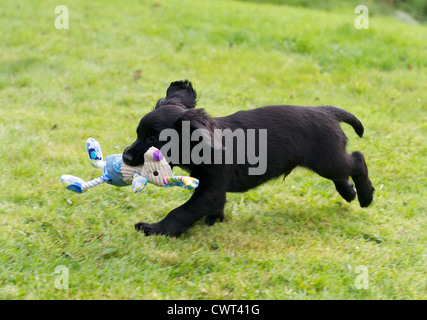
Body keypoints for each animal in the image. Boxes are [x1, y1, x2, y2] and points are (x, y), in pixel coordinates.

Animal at [123, 80, 374, 235]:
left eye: (153, 137)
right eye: (138, 133)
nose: (125, 156)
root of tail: (326, 111)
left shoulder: (209, 190)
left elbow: (181, 212)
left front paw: (155, 229)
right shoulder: (213, 190)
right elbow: (213, 208)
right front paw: (214, 222)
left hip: (327, 160)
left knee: (357, 159)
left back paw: (365, 195)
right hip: (330, 161)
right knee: (345, 171)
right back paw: (349, 192)